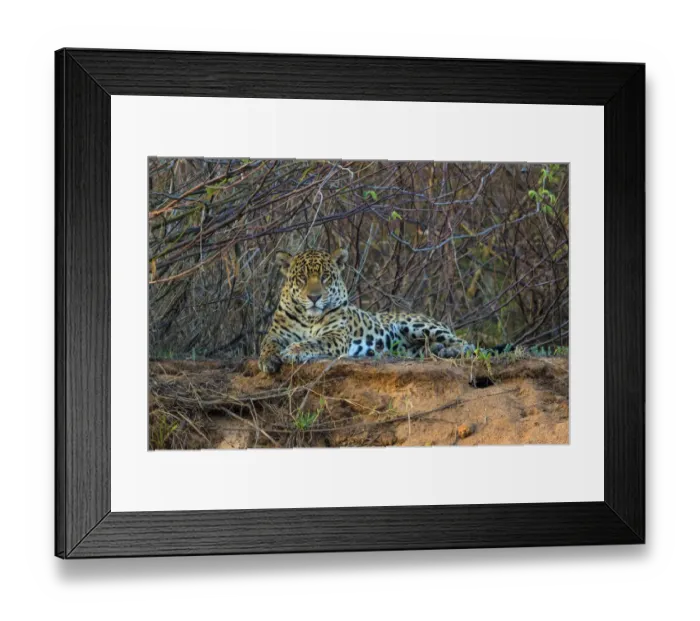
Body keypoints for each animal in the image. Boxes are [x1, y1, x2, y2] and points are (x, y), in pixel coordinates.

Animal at [258, 248, 475, 374]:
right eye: (302, 278)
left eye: (325, 277)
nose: (314, 297)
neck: (309, 318)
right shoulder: (277, 334)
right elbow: (267, 344)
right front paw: (268, 360)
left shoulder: (336, 335)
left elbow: (314, 341)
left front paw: (292, 351)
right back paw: (438, 350)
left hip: (417, 325)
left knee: (466, 344)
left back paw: (449, 350)